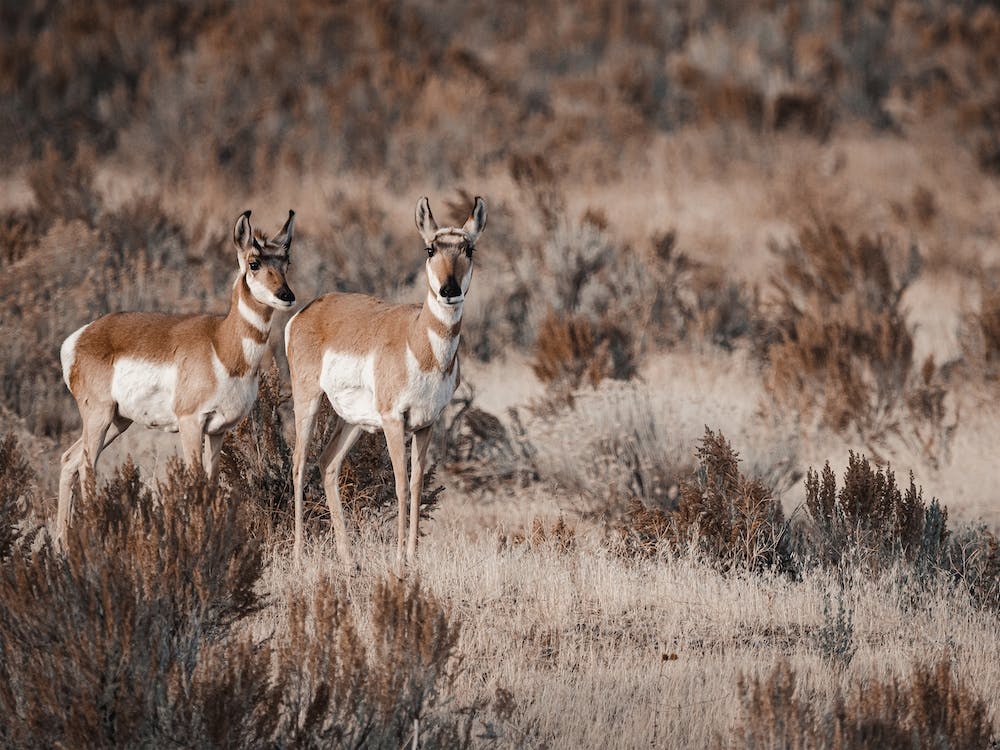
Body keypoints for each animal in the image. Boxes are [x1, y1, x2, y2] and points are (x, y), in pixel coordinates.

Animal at [57, 209, 296, 542]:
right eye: (254, 262)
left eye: (286, 261)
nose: (286, 295)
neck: (221, 344)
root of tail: (79, 337)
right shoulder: (190, 422)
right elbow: (196, 482)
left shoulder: (218, 430)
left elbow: (211, 484)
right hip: (99, 417)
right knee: (87, 470)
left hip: (118, 420)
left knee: (70, 460)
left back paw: (62, 545)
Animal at [286, 195, 486, 569]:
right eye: (430, 248)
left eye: (469, 248)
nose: (449, 290)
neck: (420, 342)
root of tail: (310, 309)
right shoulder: (395, 421)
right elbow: (401, 485)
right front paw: (399, 560)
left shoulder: (426, 425)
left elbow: (418, 485)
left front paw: (412, 557)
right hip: (308, 400)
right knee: (299, 464)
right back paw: (299, 558)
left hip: (352, 421)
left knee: (328, 464)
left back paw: (349, 561)